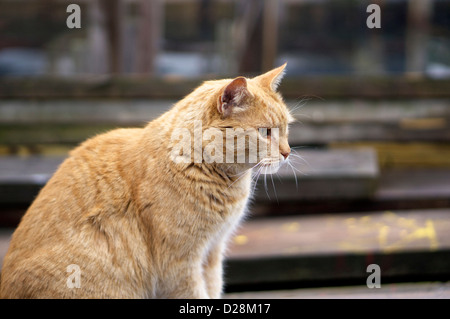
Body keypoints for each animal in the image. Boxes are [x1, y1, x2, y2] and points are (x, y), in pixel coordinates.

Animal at [0, 63, 294, 298]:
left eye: (286, 129)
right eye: (265, 132)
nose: (287, 152)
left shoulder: (212, 254)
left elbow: (213, 290)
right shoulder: (179, 265)